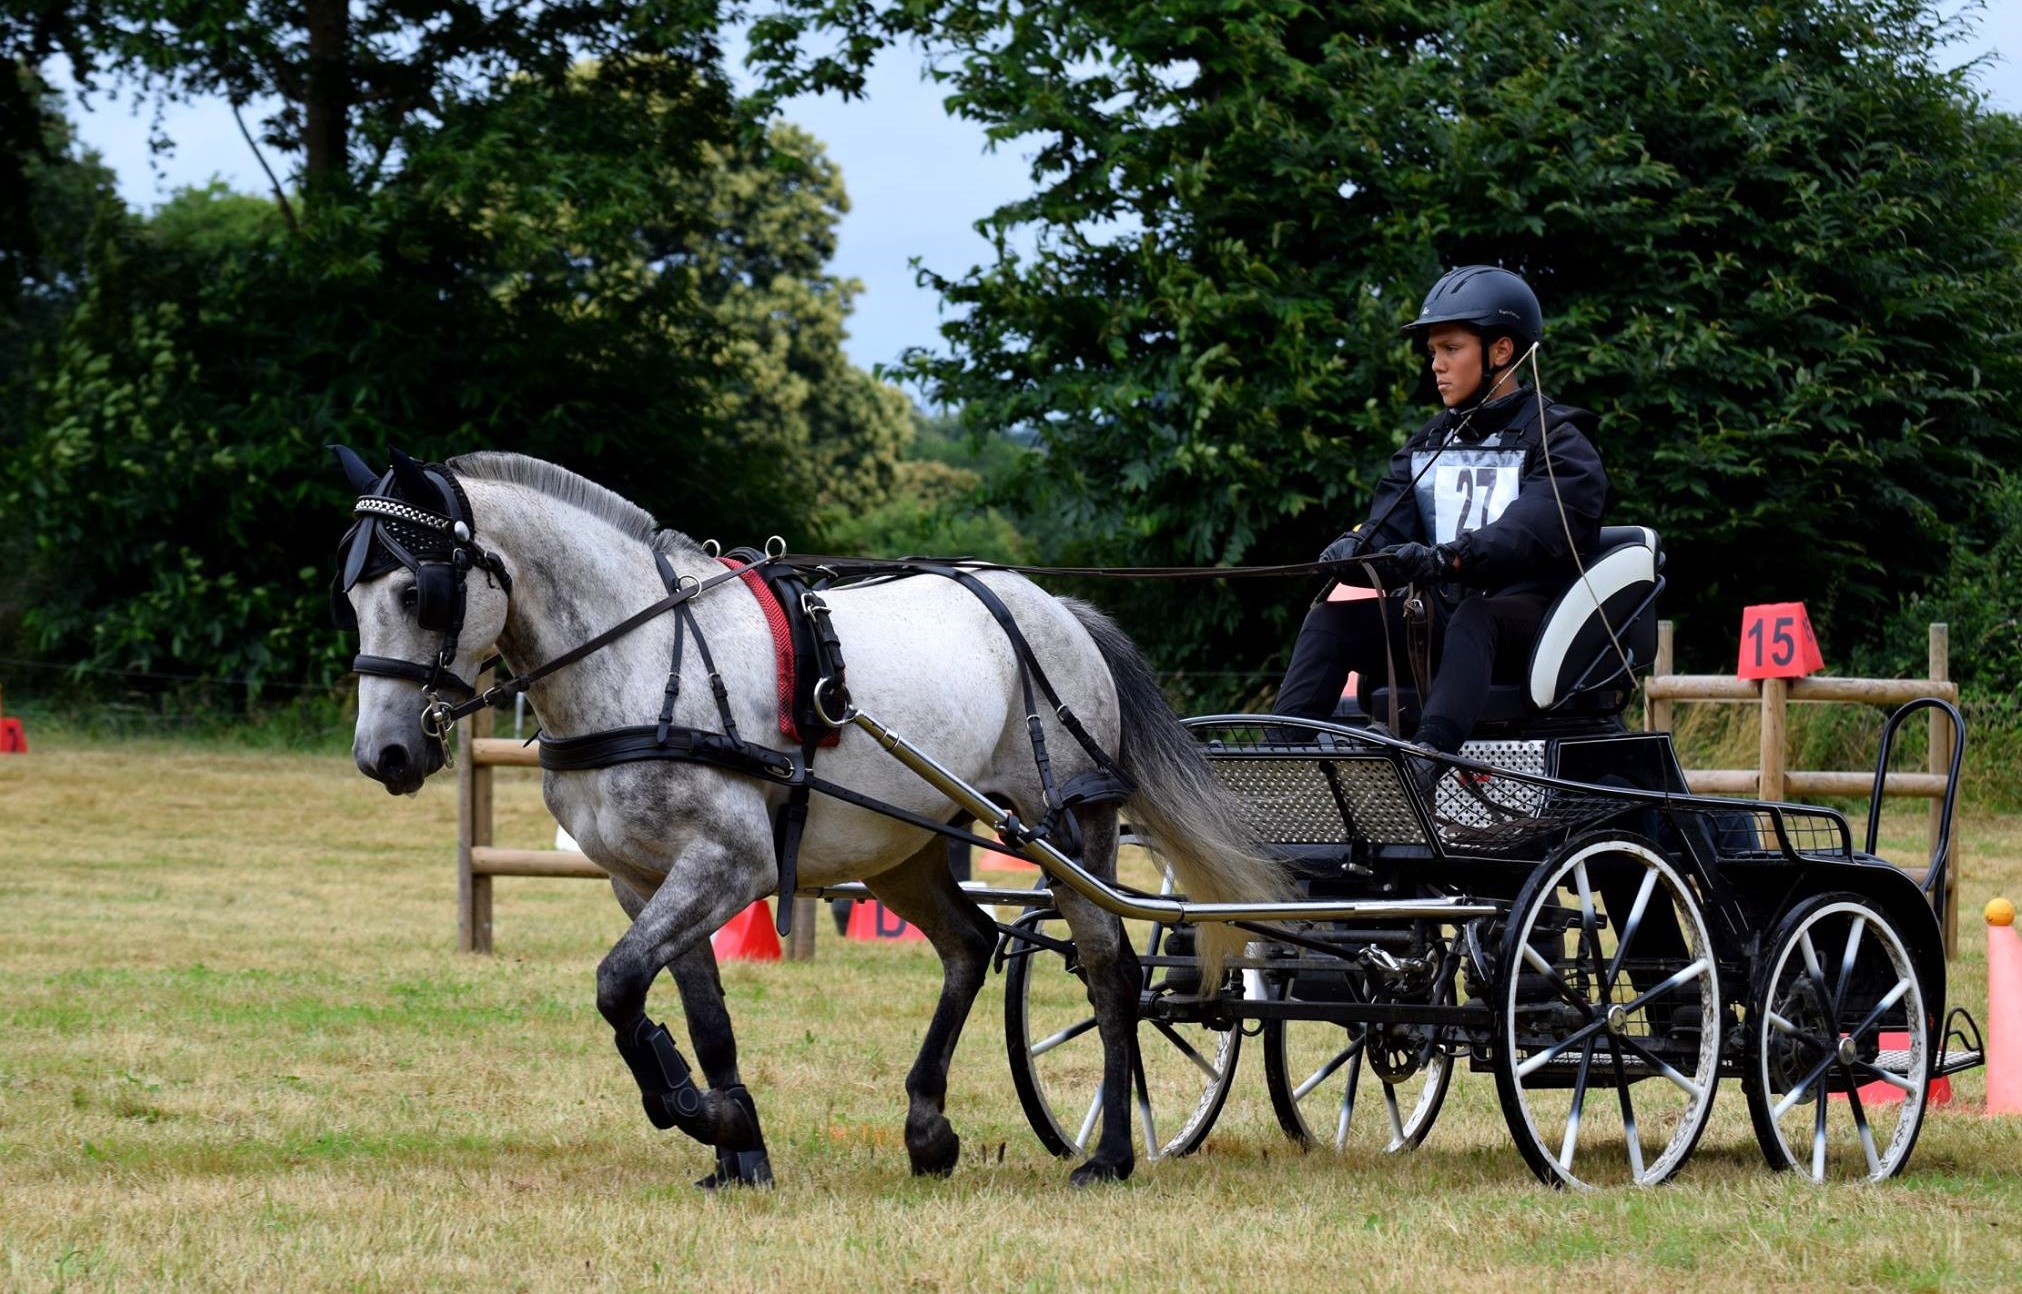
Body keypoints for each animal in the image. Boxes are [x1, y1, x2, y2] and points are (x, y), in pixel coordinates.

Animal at [333, 447, 1284, 1188]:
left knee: (1110, 971)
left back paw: (1111, 1154)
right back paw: (928, 1131)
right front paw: (737, 1147)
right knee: (971, 943)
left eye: (418, 593)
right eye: (354, 598)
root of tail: (1057, 611)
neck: (639, 658)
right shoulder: (642, 879)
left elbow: (618, 984)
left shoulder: (729, 863)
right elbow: (695, 1010)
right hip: (903, 847)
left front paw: (697, 1110)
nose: (384, 756)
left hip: (1066, 830)